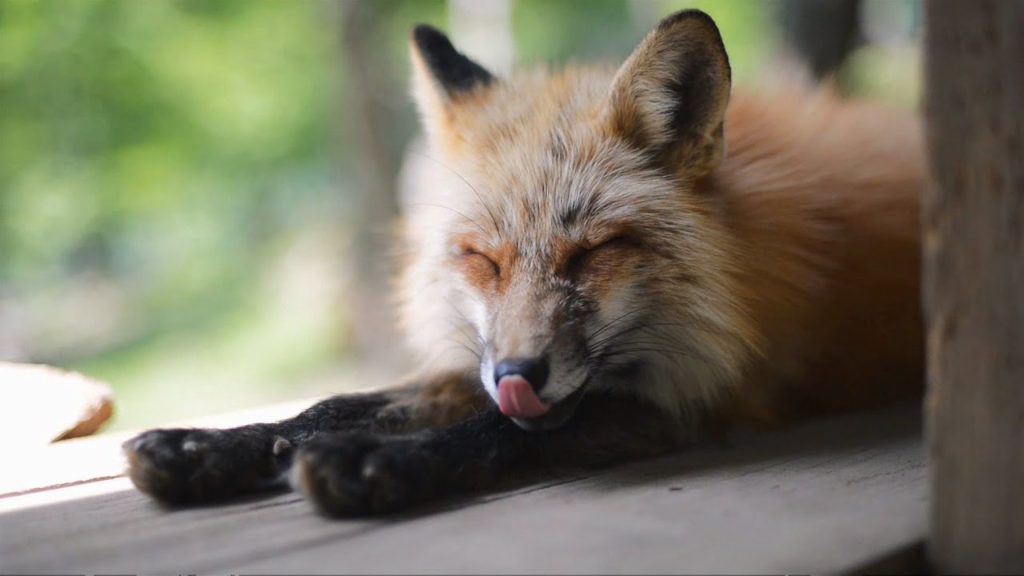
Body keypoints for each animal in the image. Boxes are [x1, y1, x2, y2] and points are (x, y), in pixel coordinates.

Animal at [123, 9, 924, 517]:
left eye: (594, 252)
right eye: (483, 260)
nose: (517, 374)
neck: (744, 251)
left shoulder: (711, 399)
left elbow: (501, 430)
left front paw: (374, 461)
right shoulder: (481, 364)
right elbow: (336, 404)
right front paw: (210, 445)